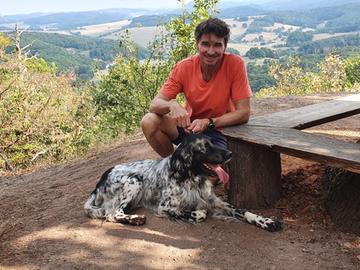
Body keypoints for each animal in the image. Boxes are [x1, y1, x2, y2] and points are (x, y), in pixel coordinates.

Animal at [84, 134, 282, 231]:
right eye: (204, 148)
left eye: (212, 142)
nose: (229, 154)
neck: (192, 178)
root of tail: (100, 180)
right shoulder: (164, 207)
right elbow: (198, 213)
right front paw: (197, 212)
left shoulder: (216, 201)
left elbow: (243, 211)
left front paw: (266, 221)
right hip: (134, 182)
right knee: (112, 213)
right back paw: (136, 219)